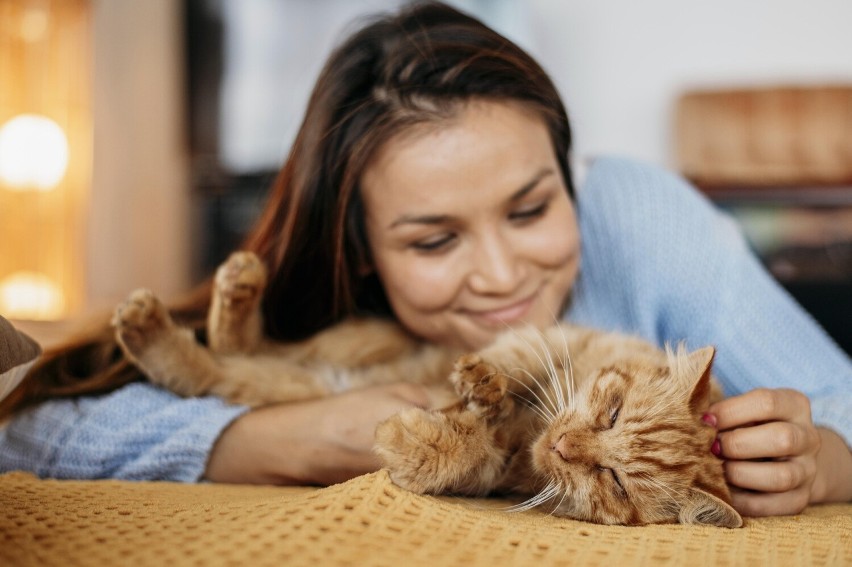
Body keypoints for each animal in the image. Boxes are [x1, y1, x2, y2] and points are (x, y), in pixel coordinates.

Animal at [111, 252, 740, 528]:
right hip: (355, 339)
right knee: (239, 343)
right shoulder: (543, 335)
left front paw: (415, 436)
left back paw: (155, 326)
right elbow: (505, 364)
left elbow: (460, 450)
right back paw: (233, 285)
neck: (532, 428)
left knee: (211, 366)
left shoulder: (498, 468)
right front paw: (480, 383)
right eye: (611, 412)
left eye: (614, 482)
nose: (564, 448)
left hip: (283, 381)